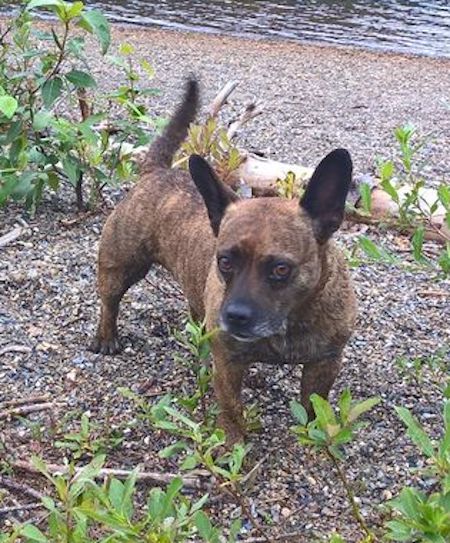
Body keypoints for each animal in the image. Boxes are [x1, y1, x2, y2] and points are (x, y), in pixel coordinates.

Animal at [91, 78, 356, 444]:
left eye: (281, 269)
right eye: (225, 261)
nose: (236, 315)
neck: (290, 318)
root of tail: (157, 171)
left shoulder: (324, 364)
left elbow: (315, 405)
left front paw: (316, 436)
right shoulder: (229, 364)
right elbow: (231, 409)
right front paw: (233, 444)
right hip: (121, 267)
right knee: (110, 302)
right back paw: (106, 335)